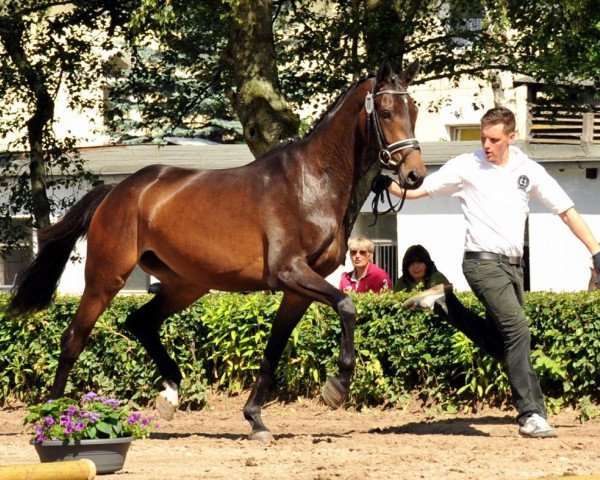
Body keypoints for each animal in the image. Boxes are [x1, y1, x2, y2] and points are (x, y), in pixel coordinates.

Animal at [7, 61, 424, 442]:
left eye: (414, 110)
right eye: (386, 112)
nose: (414, 174)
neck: (312, 182)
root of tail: (117, 191)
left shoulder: (299, 289)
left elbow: (274, 349)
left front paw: (256, 420)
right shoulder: (290, 273)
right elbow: (348, 306)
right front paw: (337, 387)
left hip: (187, 284)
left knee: (140, 322)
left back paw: (170, 393)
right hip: (105, 278)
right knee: (73, 339)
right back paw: (51, 419)